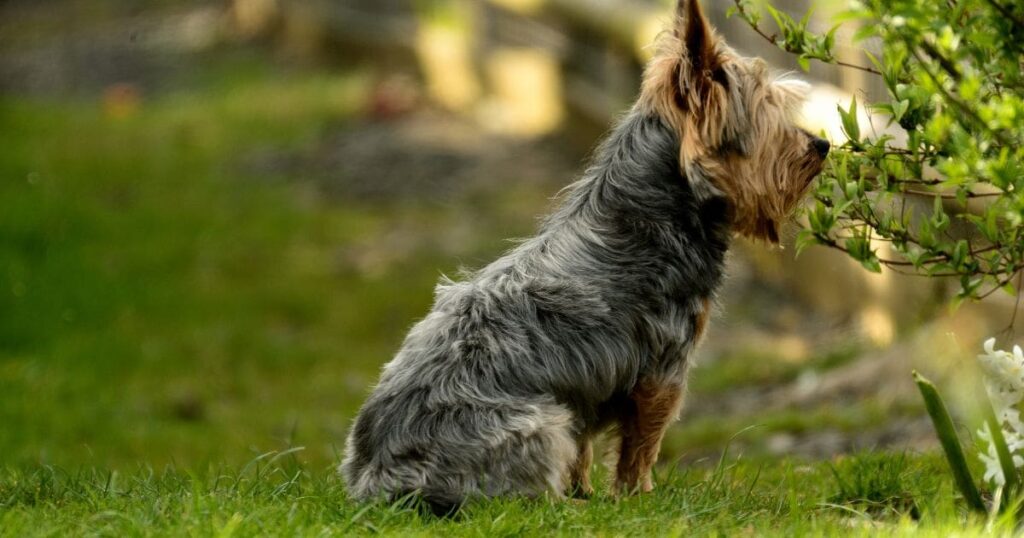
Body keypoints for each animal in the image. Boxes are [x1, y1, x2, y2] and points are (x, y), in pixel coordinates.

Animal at [339, 0, 827, 514]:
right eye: (769, 115)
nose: (821, 145)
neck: (653, 206)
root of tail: (382, 481)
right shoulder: (663, 369)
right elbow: (641, 445)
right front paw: (638, 497)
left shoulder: (588, 393)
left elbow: (587, 447)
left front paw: (586, 490)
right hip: (541, 423)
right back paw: (561, 505)